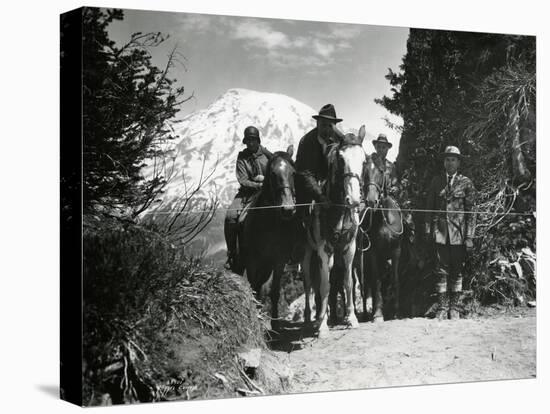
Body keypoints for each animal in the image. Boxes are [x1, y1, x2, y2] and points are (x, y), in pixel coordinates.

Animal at [242, 146, 300, 330]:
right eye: (273, 174)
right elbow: (254, 290)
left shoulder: (278, 260)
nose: (288, 209)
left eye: (293, 173)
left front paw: (275, 324)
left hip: (266, 267)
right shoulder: (252, 261)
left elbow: (274, 292)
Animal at [302, 125, 366, 336]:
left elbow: (348, 282)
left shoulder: (349, 248)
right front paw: (321, 326)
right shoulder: (324, 250)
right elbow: (324, 285)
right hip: (307, 252)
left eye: (364, 160)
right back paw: (311, 319)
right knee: (309, 283)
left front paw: (351, 318)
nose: (353, 199)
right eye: (341, 158)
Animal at [360, 156, 408, 324]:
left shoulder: (396, 252)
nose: (371, 201)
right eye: (364, 172)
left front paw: (397, 312)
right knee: (366, 285)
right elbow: (376, 282)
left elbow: (395, 279)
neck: (385, 219)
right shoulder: (373, 253)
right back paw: (368, 313)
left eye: (381, 171)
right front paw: (378, 314)